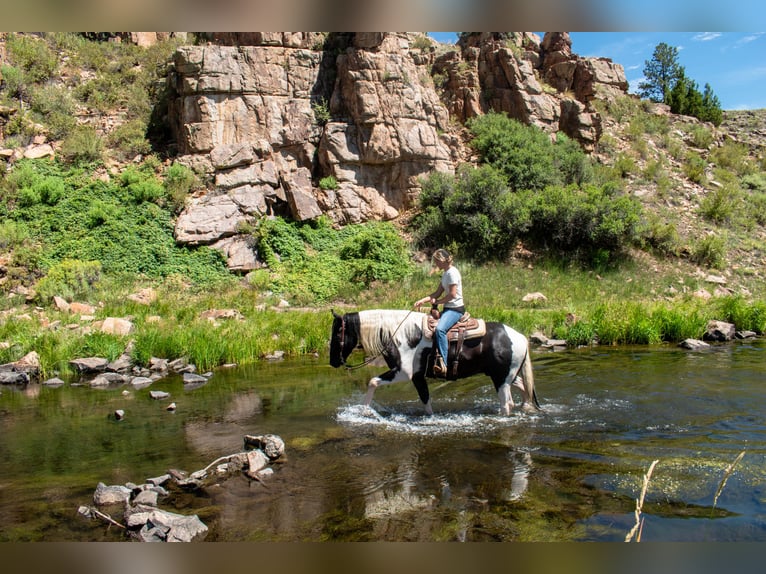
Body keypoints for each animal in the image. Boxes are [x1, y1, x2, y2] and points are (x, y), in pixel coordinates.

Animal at [329, 309, 540, 416]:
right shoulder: (417, 377)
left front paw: (364, 412)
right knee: (524, 387)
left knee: (507, 404)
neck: (401, 335)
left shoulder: (403, 373)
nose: (332, 362)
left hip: (501, 379)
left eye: (338, 333)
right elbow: (426, 400)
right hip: (505, 376)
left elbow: (372, 382)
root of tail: (520, 337)